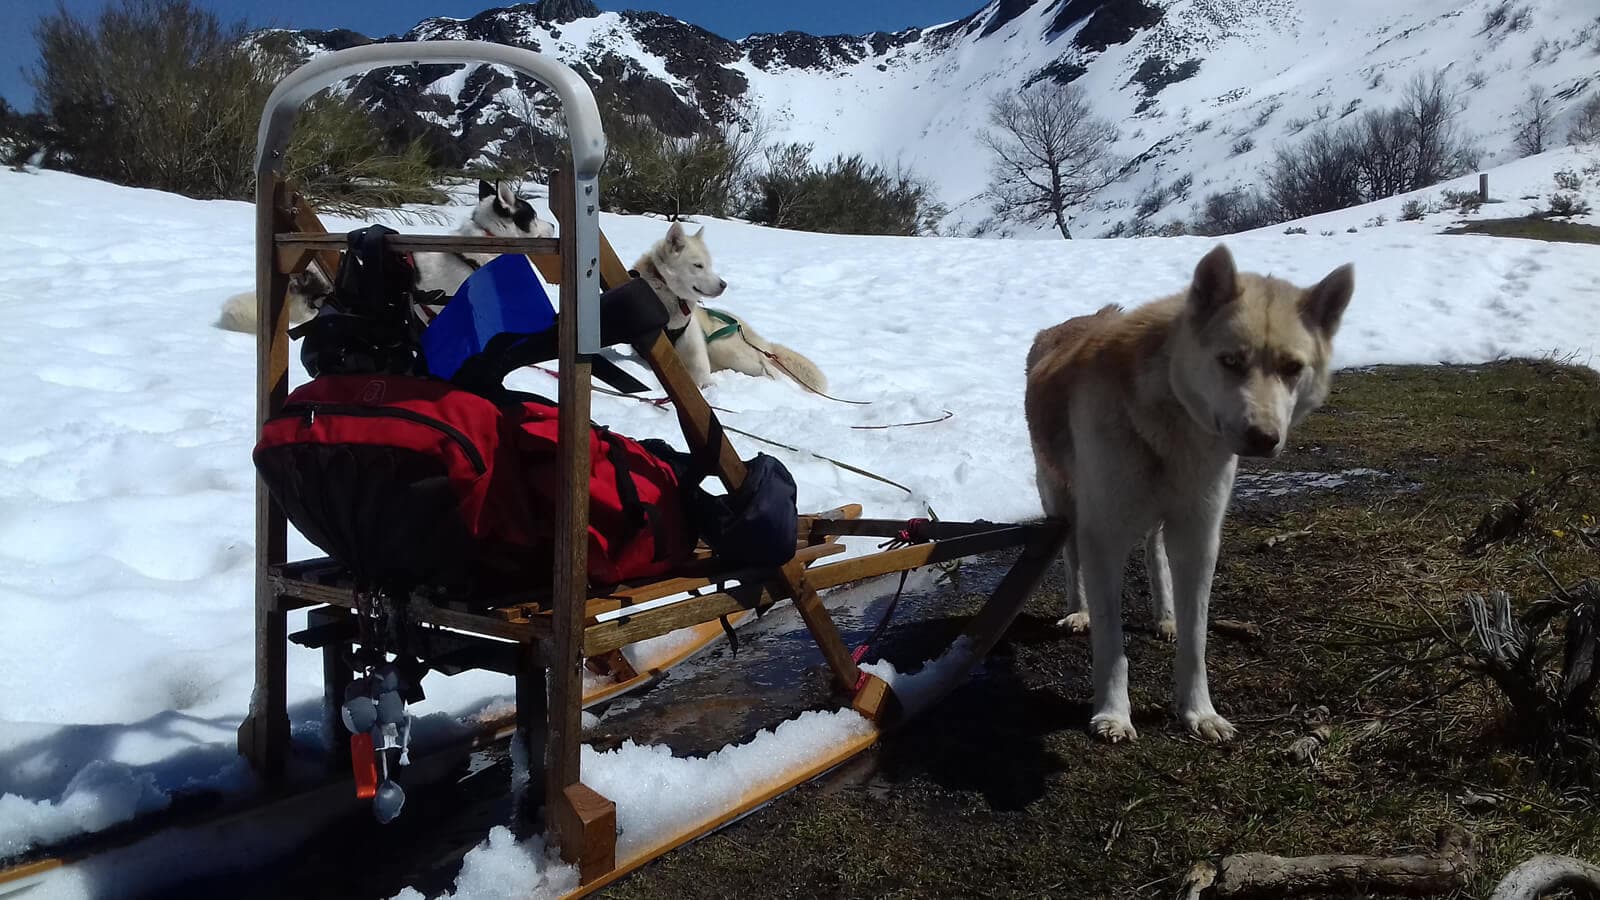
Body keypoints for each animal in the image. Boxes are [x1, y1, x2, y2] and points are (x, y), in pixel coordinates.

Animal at [627, 220, 825, 389]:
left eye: (709, 265)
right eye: (698, 265)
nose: (724, 284)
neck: (672, 297)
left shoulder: (693, 338)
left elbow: (701, 367)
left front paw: (708, 388)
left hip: (723, 348)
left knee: (766, 367)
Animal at [1024, 241, 1350, 739]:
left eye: (1292, 368)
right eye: (1230, 361)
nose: (1263, 438)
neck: (1170, 425)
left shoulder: (1198, 534)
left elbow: (1196, 641)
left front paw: (1199, 712)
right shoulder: (1104, 536)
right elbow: (1111, 642)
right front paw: (1113, 714)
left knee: (1154, 550)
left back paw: (1165, 616)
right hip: (1063, 506)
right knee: (1072, 558)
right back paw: (1078, 611)